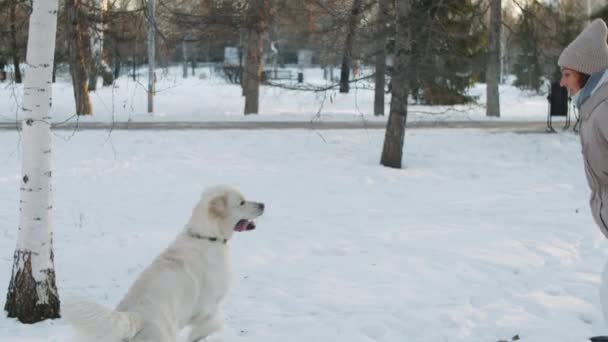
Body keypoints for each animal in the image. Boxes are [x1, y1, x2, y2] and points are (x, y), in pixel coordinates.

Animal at [63, 186, 264, 340]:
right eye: (242, 202)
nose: (263, 204)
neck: (206, 236)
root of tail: (135, 317)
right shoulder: (208, 308)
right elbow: (212, 323)